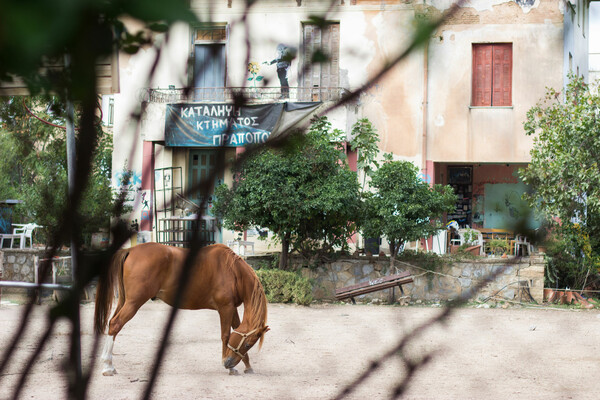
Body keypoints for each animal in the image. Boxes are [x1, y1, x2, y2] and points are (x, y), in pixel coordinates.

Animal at [94, 242, 270, 376]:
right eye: (248, 345)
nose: (228, 363)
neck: (233, 272)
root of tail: (130, 250)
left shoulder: (232, 309)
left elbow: (235, 329)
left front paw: (247, 366)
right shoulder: (225, 308)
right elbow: (226, 335)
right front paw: (231, 368)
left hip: (124, 301)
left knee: (112, 322)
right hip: (133, 303)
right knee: (115, 324)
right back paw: (107, 366)